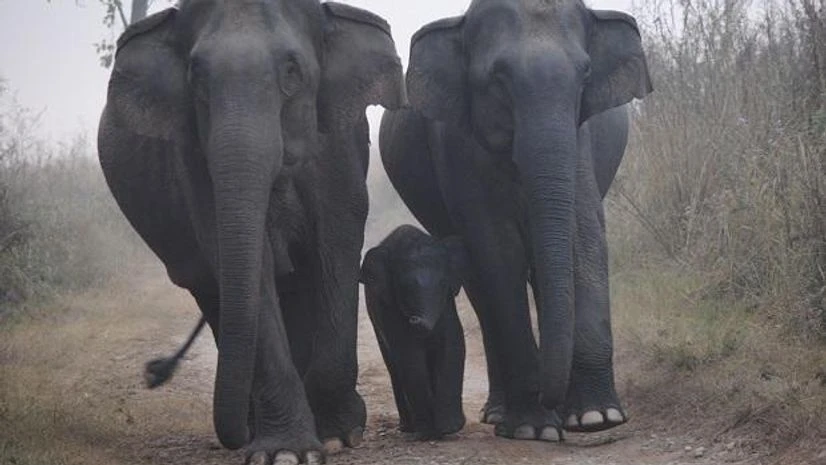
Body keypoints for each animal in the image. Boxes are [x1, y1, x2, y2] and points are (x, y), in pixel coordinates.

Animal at [96, 0, 405, 462]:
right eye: (196, 78)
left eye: (292, 72)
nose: (153, 372)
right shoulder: (194, 163)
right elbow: (245, 264)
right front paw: (287, 452)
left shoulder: (337, 146)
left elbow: (336, 242)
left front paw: (338, 434)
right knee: (215, 295)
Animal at [360, 225, 466, 440]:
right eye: (405, 288)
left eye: (443, 284)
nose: (414, 319)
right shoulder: (387, 307)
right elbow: (409, 355)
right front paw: (428, 433)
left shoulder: (446, 304)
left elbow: (452, 343)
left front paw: (449, 428)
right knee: (393, 365)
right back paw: (408, 427)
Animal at [379, 0, 652, 442]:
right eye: (498, 77)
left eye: (585, 74)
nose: (551, 401)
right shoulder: (456, 143)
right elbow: (496, 247)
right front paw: (534, 429)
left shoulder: (580, 137)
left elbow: (583, 234)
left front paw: (596, 418)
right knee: (480, 286)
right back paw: (499, 414)